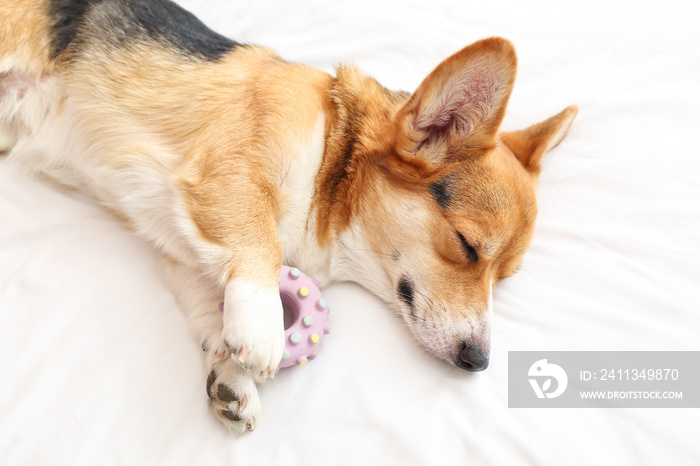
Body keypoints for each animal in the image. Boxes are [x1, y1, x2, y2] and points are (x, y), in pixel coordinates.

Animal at [0, 0, 576, 434]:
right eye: (466, 245)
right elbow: (261, 244)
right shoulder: (225, 173)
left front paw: (230, 373)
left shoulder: (180, 242)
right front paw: (262, 326)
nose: (480, 362)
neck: (331, 169)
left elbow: (211, 306)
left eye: (504, 278)